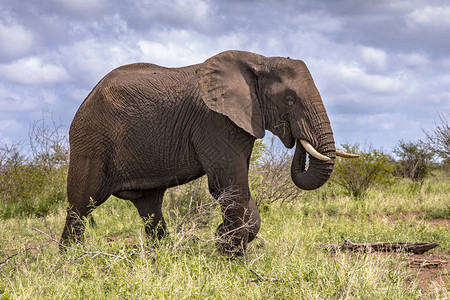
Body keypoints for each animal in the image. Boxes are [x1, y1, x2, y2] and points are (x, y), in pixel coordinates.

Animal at [59, 50, 356, 256]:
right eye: (290, 100)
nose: (295, 137)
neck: (259, 60)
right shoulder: (215, 121)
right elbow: (229, 184)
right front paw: (231, 256)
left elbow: (236, 187)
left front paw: (224, 243)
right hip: (91, 142)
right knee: (81, 205)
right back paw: (70, 261)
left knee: (149, 205)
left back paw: (164, 256)